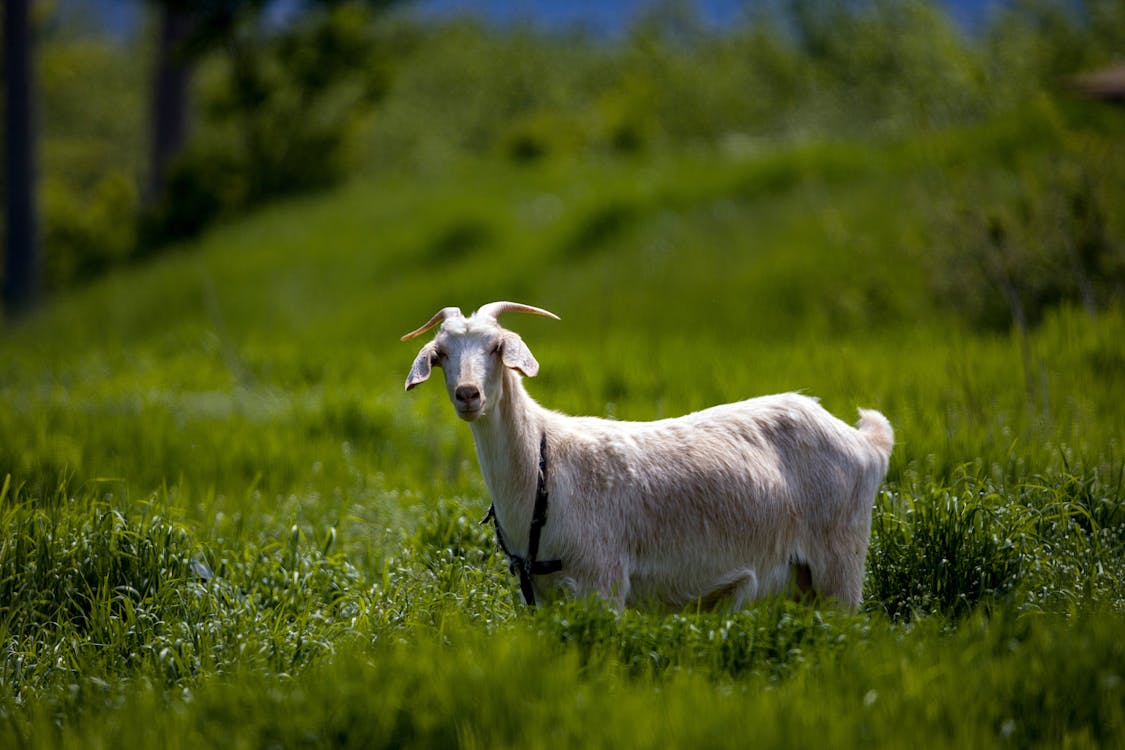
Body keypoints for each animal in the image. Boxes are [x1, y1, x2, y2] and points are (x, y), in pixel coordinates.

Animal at [400, 301, 891, 611]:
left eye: (497, 347)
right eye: (441, 354)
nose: (468, 394)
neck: (543, 462)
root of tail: (866, 442)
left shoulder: (602, 581)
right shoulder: (538, 595)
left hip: (841, 561)